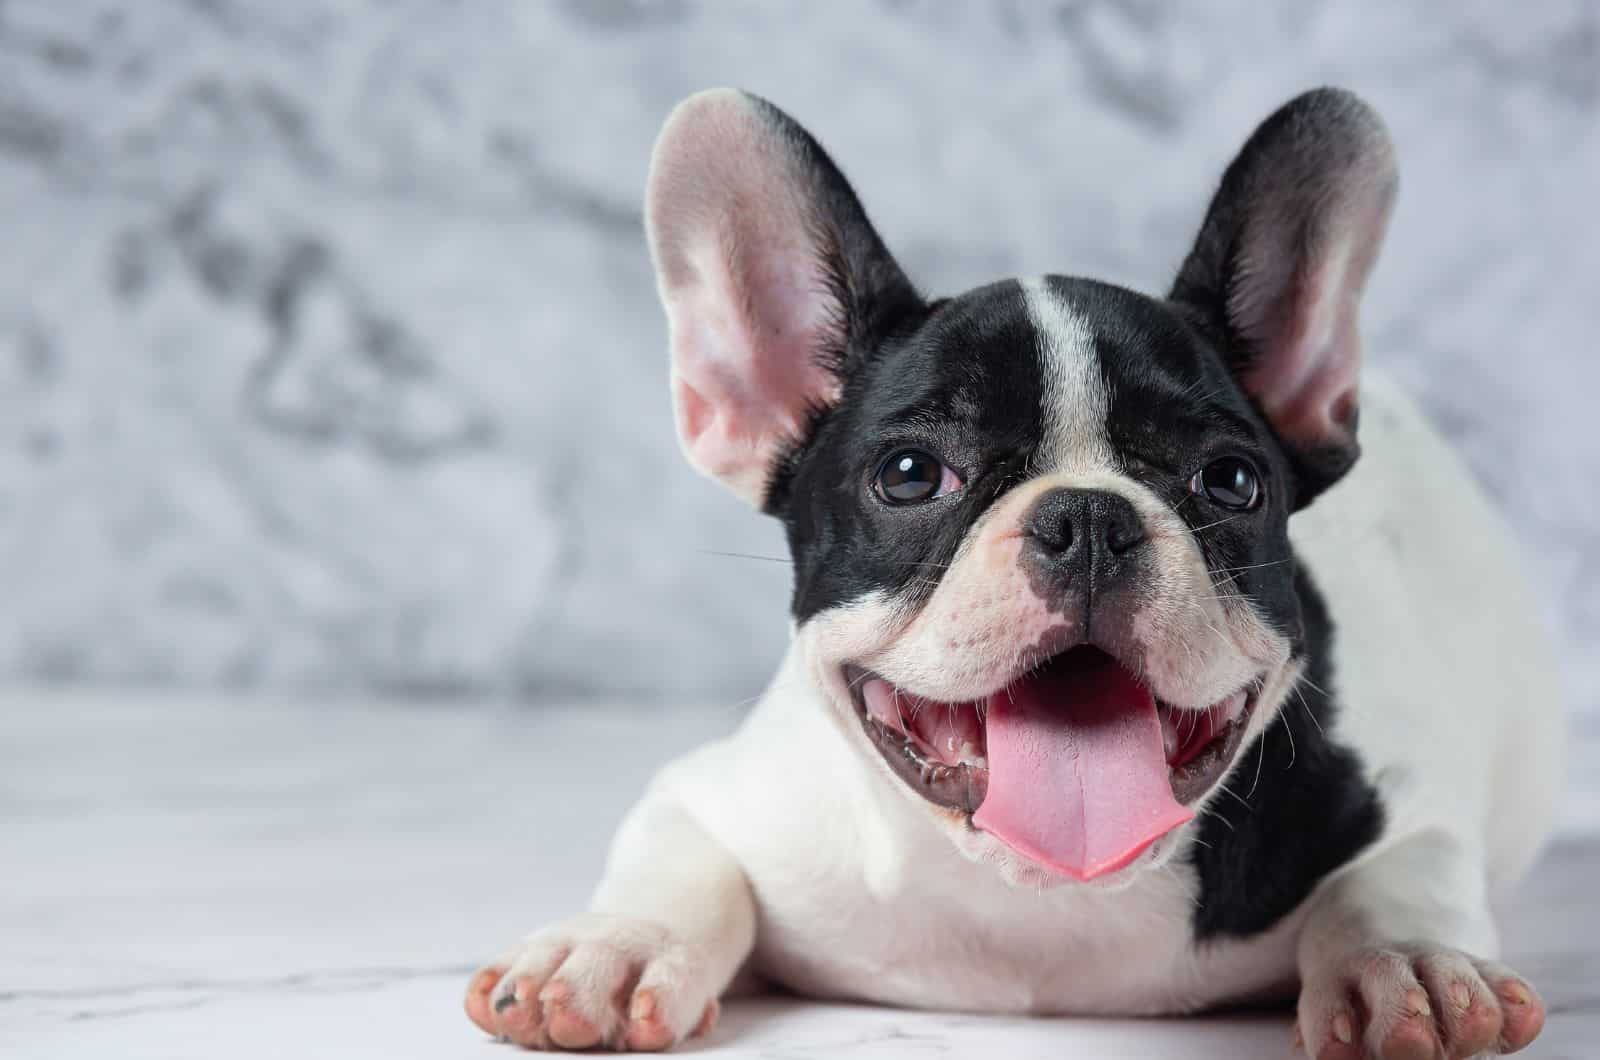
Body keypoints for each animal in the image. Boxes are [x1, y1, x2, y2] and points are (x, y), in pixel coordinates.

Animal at [464, 89, 1561, 1060]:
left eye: (1231, 479)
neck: (1042, 892)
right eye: (911, 474)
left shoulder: (1407, 808)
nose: (1087, 518)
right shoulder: (720, 796)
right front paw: (611, 950)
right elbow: (673, 860)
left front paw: (1405, 966)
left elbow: (1392, 882)